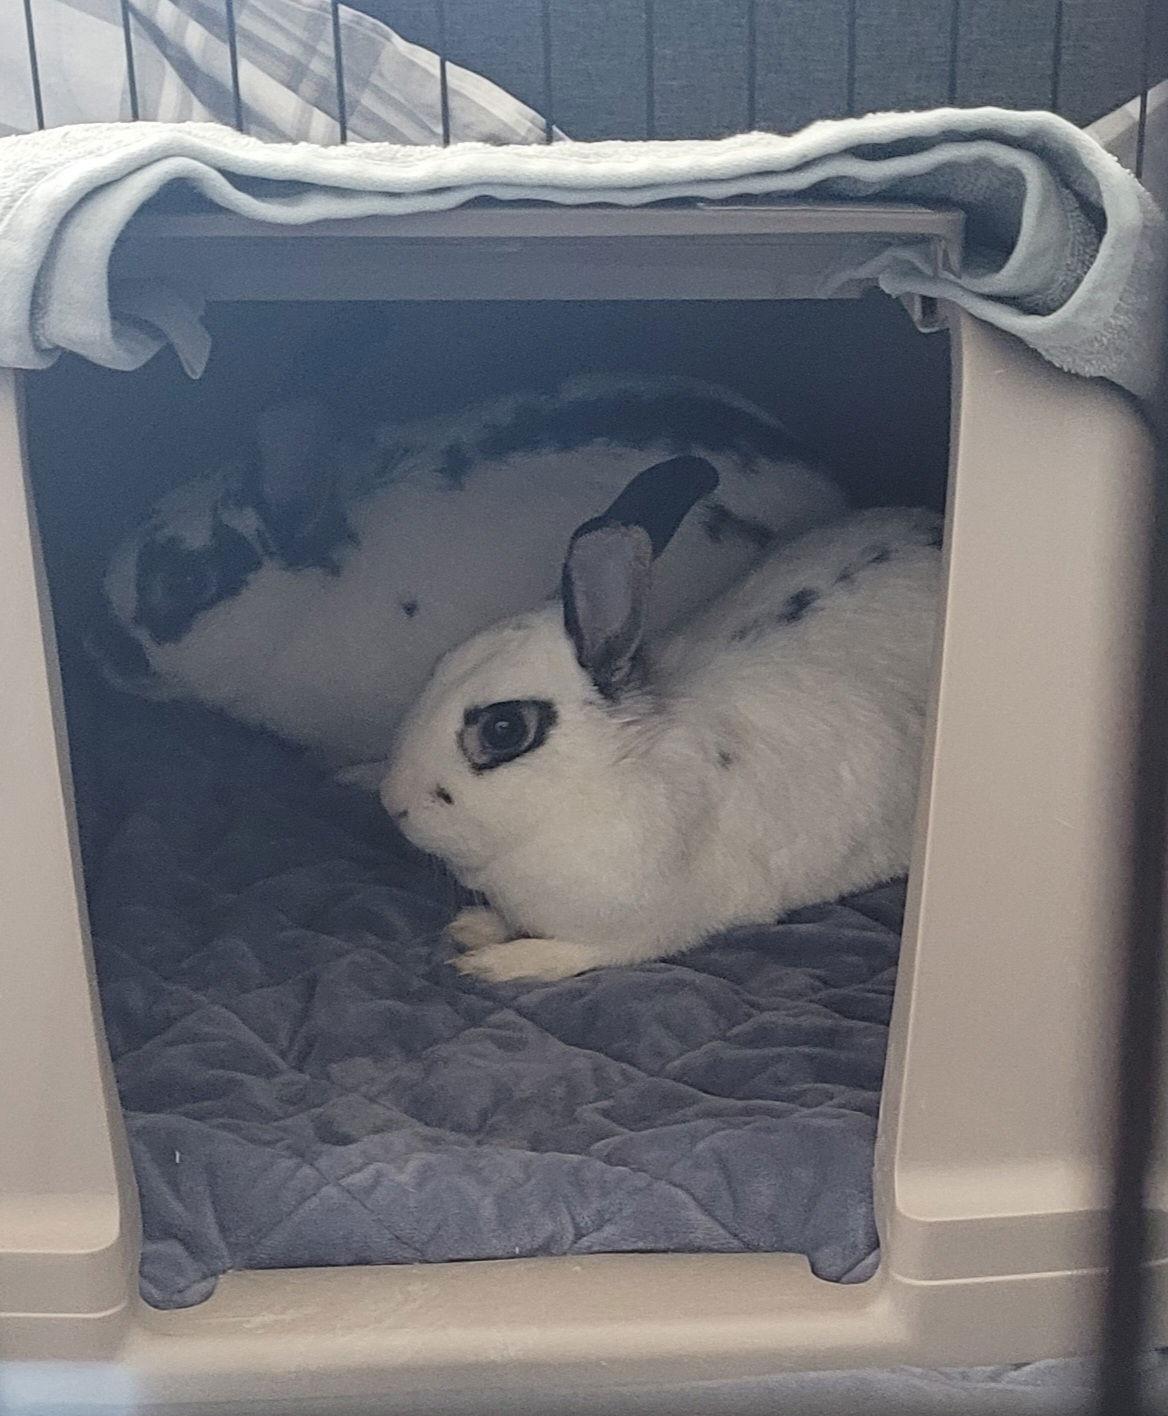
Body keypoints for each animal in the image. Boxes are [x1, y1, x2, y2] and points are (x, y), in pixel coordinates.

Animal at [380, 455, 941, 983]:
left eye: (504, 730)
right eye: (440, 665)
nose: (392, 804)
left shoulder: (637, 932)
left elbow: (571, 953)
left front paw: (492, 964)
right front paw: (474, 927)